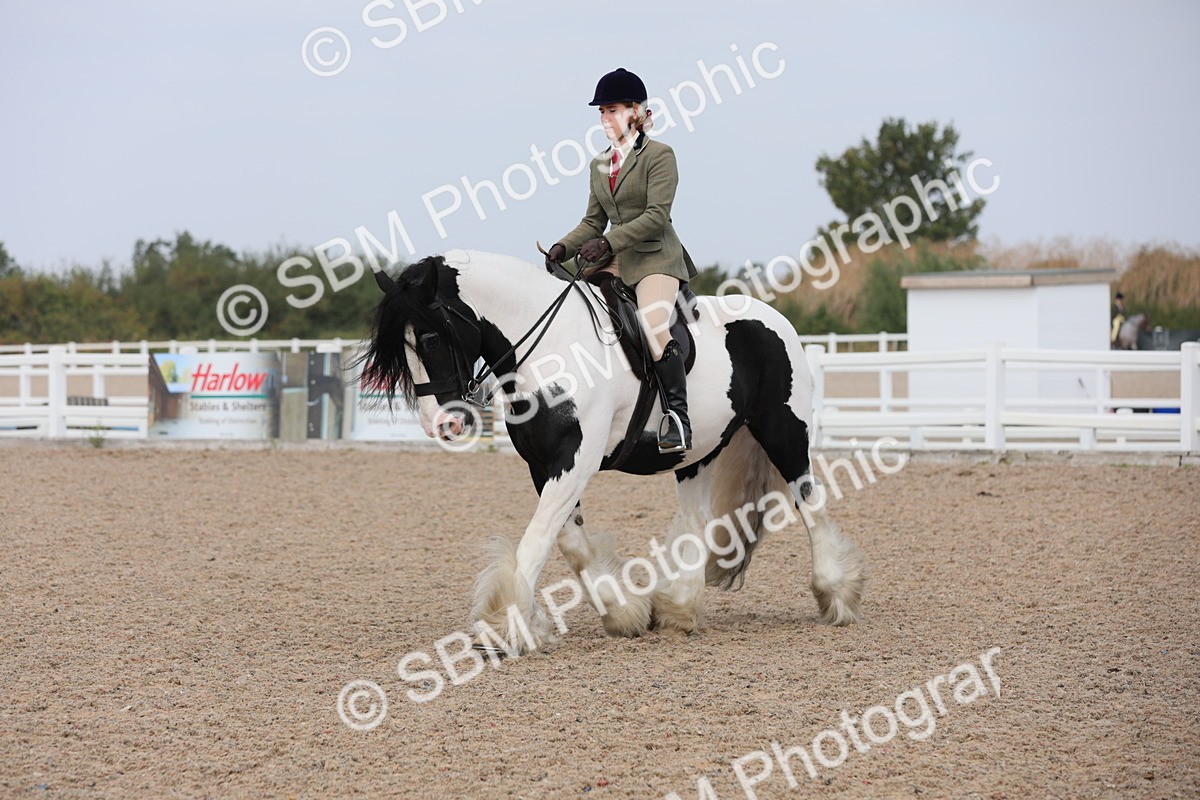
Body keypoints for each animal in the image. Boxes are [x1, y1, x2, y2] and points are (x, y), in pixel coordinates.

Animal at [358, 249, 866, 653]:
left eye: (429, 337)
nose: (440, 424)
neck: (553, 349)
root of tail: (776, 320)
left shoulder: (575, 460)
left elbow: (537, 540)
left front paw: (506, 624)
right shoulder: (544, 465)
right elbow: (571, 543)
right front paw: (621, 612)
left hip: (784, 431)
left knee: (809, 501)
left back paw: (835, 595)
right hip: (696, 453)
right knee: (698, 521)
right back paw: (678, 610)